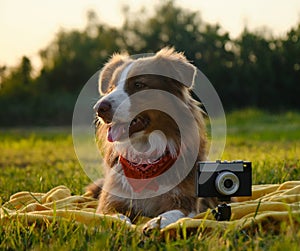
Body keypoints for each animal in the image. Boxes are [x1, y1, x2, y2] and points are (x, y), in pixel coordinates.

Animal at [88, 47, 217, 233]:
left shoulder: (186, 202)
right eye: (111, 87)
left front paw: (156, 223)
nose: (99, 108)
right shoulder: (110, 201)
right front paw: (122, 225)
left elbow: (174, 213)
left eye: (138, 85)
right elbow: (114, 216)